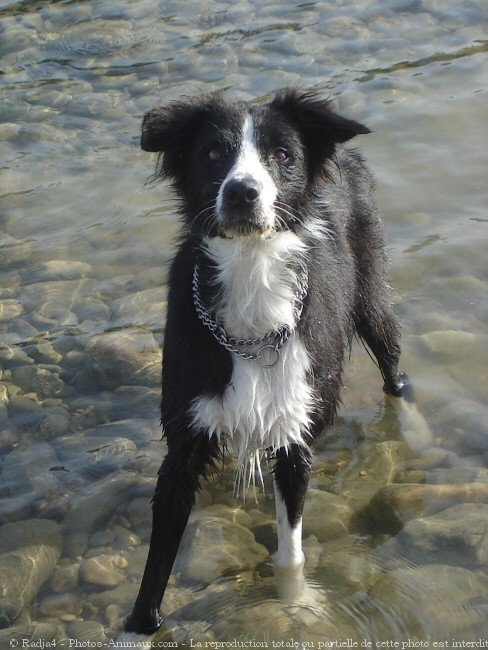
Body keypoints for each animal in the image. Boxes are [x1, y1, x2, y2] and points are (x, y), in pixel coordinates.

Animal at [124, 88, 410, 632]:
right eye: (213, 152)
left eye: (281, 154)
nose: (242, 193)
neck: (251, 271)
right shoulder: (185, 437)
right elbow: (157, 558)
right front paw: (139, 628)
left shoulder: (294, 431)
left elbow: (290, 553)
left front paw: (296, 606)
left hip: (371, 296)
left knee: (393, 366)